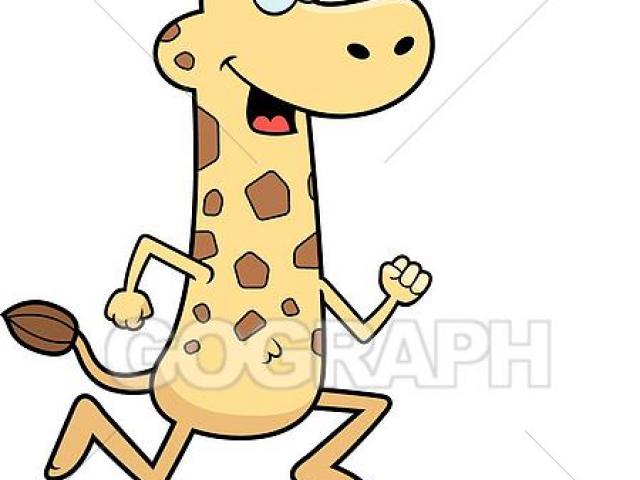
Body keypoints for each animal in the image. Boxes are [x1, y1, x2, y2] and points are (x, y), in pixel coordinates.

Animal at [6, 0, 435, 478]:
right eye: (271, 5)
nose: (397, 37)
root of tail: (152, 376)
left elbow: (363, 331)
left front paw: (404, 281)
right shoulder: (199, 267)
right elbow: (147, 248)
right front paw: (127, 309)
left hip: (321, 400)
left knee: (369, 407)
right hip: (181, 422)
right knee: (139, 457)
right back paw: (64, 455)